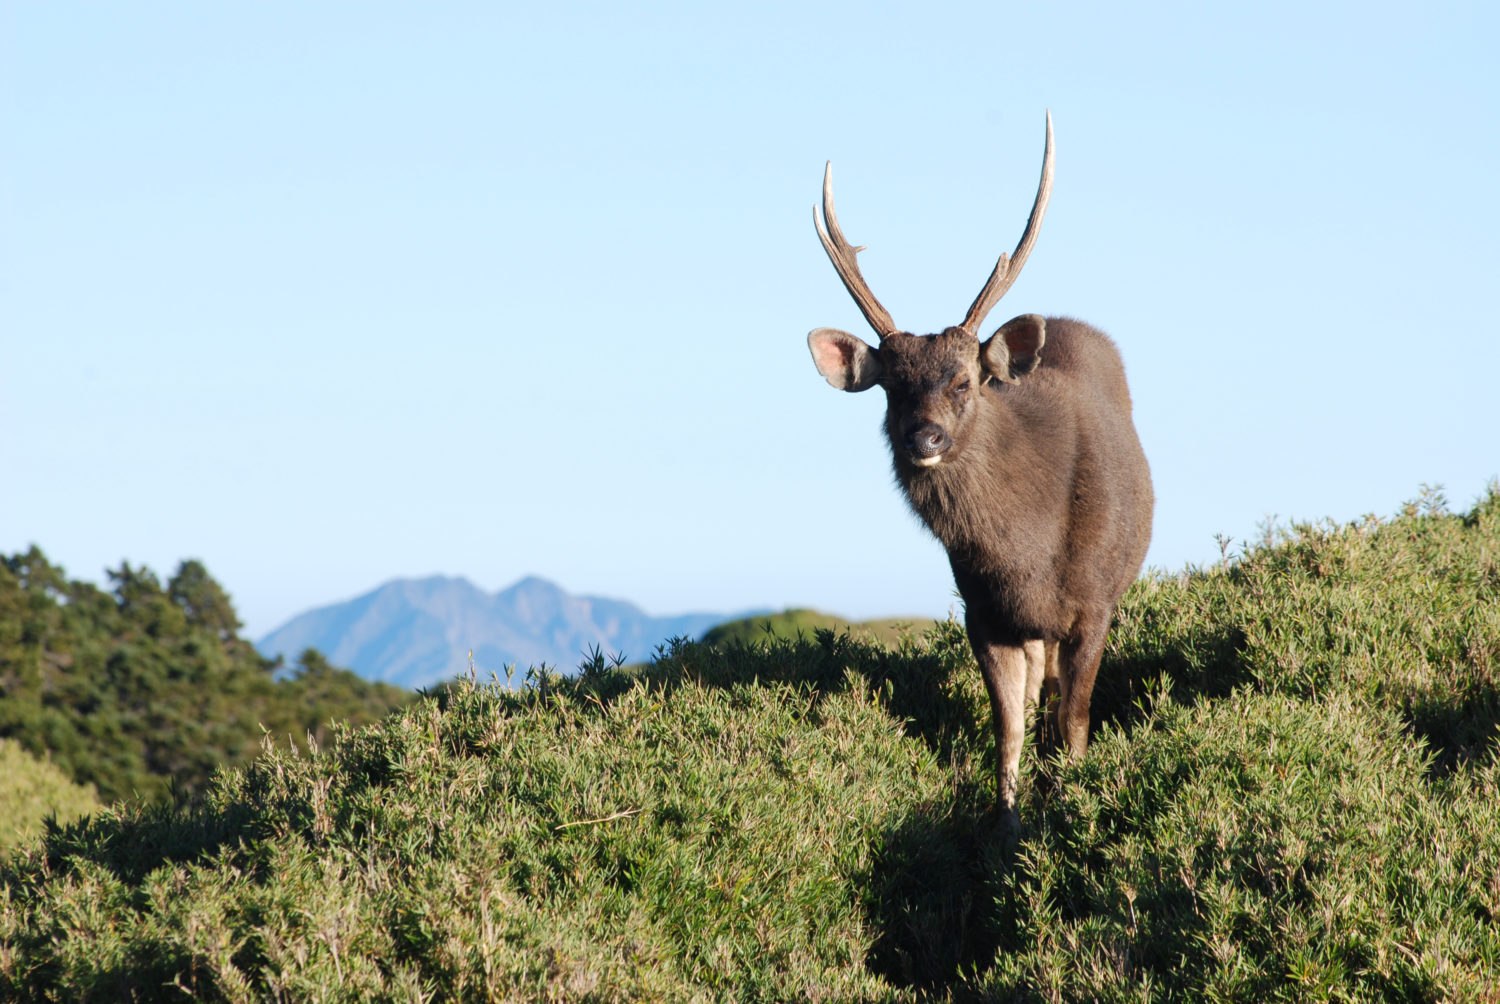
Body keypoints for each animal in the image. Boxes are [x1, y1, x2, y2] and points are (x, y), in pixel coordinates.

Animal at [810, 113, 1146, 828]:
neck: (1028, 556)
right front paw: (1007, 826)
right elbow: (1008, 729)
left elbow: (1076, 722)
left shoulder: (1095, 603)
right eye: (891, 388)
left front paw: (1068, 808)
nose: (925, 437)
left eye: (964, 381)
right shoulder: (982, 611)